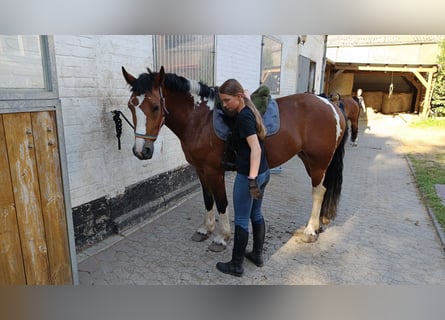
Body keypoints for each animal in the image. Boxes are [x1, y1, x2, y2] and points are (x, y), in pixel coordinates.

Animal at [120, 67, 346, 252]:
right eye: (131, 106)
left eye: (156, 106)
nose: (141, 151)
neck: (200, 120)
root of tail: (331, 105)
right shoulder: (200, 170)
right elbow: (208, 199)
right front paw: (205, 229)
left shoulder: (214, 171)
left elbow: (221, 202)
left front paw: (222, 237)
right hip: (309, 159)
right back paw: (318, 224)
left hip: (318, 163)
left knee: (318, 192)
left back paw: (310, 230)